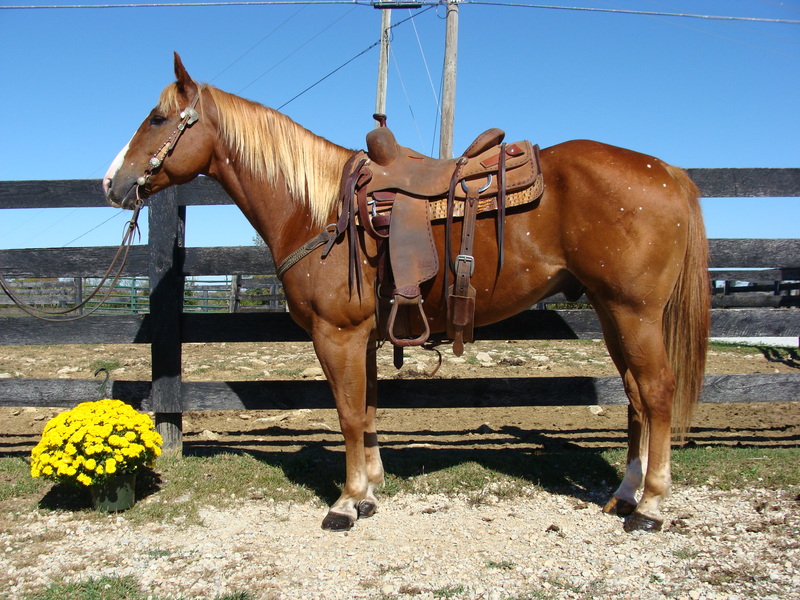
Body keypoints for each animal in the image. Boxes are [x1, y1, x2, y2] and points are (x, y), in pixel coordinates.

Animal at [104, 53, 710, 533]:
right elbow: (368, 408)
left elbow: (349, 414)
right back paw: (626, 494)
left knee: (656, 392)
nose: (111, 183)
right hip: (612, 313)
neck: (319, 209)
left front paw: (346, 503)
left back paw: (650, 507)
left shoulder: (338, 335)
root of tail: (668, 171)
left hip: (634, 312)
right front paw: (370, 491)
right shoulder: (366, 337)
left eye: (158, 118)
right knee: (634, 395)